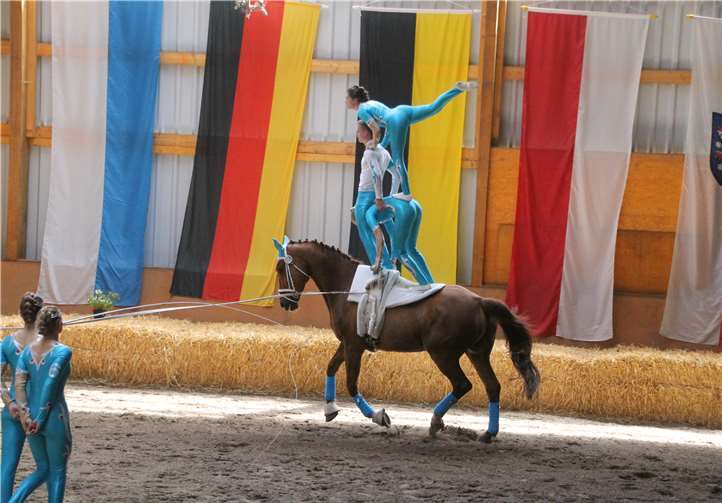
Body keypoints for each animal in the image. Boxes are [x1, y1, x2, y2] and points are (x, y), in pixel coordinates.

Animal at [273, 238, 539, 443]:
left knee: (462, 385)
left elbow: (351, 384)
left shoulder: (354, 346)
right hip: (477, 353)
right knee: (492, 386)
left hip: (443, 354)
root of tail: (480, 301)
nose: (285, 303)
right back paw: (488, 433)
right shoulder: (347, 344)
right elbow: (330, 368)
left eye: (281, 269)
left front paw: (378, 417)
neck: (347, 286)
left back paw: (435, 422)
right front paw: (330, 409)